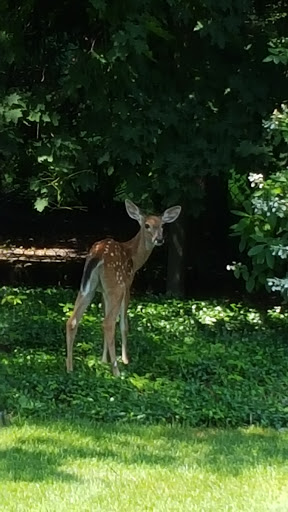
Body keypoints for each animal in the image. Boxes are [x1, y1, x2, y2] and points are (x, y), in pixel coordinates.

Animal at [66, 199, 181, 376]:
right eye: (147, 225)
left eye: (162, 225)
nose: (159, 239)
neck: (134, 257)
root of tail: (97, 255)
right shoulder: (127, 285)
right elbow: (124, 325)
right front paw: (125, 359)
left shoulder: (103, 291)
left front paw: (103, 360)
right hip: (117, 285)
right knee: (108, 323)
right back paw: (117, 371)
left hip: (88, 288)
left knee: (72, 321)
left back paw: (70, 368)